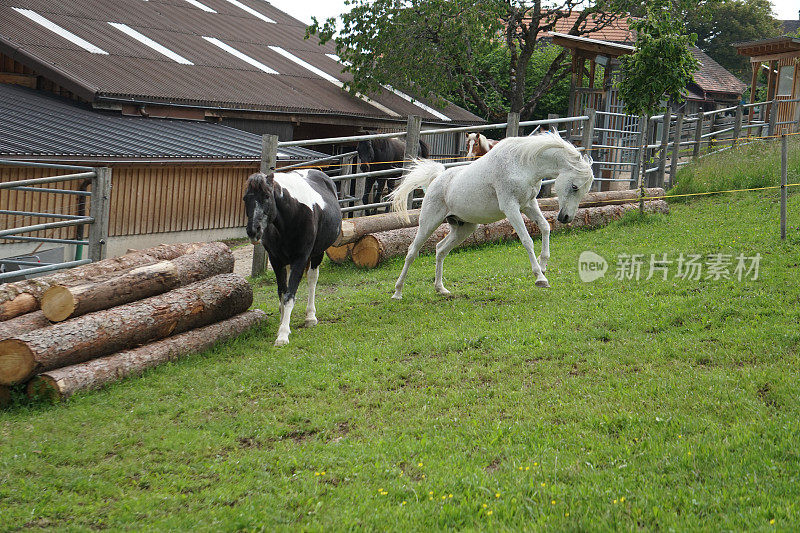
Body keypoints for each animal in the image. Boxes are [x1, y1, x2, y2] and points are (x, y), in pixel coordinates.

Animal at [244, 169, 344, 344]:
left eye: (267, 196)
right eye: (245, 198)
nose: (253, 231)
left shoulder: (301, 258)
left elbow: (289, 296)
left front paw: (283, 334)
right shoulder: (276, 260)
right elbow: (282, 293)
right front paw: (282, 325)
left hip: (317, 254)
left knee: (312, 279)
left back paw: (310, 317)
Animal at [388, 132, 592, 300]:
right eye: (575, 187)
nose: (565, 218)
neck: (522, 163)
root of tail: (436, 179)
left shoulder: (529, 205)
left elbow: (545, 227)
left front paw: (543, 266)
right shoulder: (511, 207)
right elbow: (527, 240)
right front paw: (540, 278)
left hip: (464, 228)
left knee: (440, 249)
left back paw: (441, 289)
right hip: (428, 223)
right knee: (412, 252)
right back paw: (398, 292)